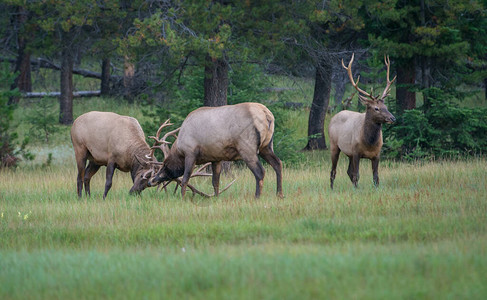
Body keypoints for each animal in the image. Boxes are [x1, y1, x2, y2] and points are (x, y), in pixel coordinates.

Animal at [149, 102, 286, 198]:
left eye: (165, 164)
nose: (152, 181)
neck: (179, 148)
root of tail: (267, 115)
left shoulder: (190, 153)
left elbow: (185, 179)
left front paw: (182, 198)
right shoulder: (216, 158)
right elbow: (215, 182)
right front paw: (216, 197)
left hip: (247, 148)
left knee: (260, 172)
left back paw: (257, 196)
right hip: (266, 146)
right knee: (278, 163)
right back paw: (279, 194)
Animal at [330, 53, 398, 189]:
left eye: (386, 106)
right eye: (376, 108)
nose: (392, 118)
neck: (369, 143)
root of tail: (333, 117)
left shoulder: (376, 154)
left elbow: (376, 177)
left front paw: (375, 189)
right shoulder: (356, 152)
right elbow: (357, 174)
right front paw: (356, 190)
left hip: (349, 153)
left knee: (348, 171)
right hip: (334, 145)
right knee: (333, 171)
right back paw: (332, 188)